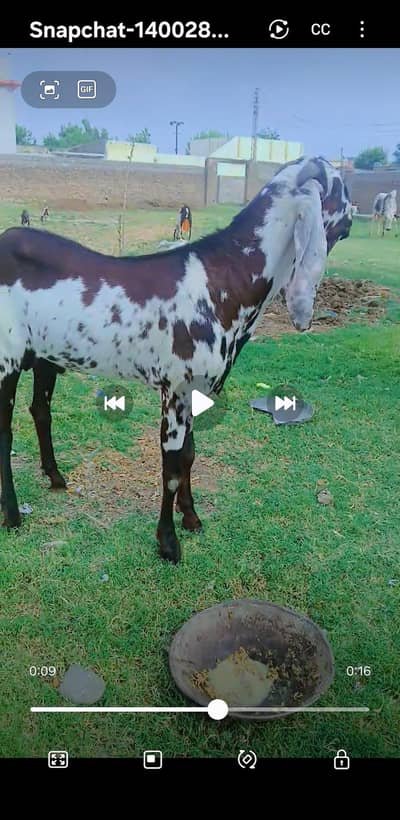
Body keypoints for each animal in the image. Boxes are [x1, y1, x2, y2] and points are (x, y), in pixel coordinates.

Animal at [0, 156, 352, 562]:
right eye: (342, 188)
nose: (352, 217)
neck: (224, 279)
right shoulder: (176, 389)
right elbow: (170, 465)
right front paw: (168, 542)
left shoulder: (195, 390)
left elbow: (188, 456)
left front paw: (191, 517)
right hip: (7, 358)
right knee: (5, 431)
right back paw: (12, 514)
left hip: (45, 356)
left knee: (40, 411)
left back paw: (55, 478)